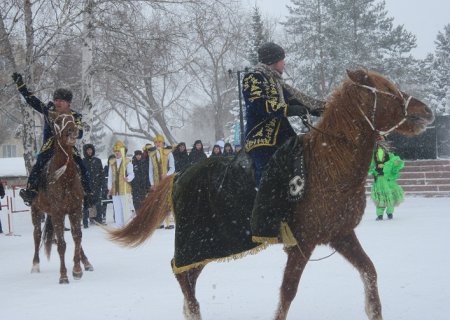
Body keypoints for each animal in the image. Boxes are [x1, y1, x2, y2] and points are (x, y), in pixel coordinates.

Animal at [30, 112, 93, 282]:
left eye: (73, 119)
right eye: (58, 121)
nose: (72, 131)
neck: (65, 177)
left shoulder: (75, 210)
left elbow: (77, 237)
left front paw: (77, 270)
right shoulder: (57, 213)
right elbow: (61, 245)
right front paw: (63, 275)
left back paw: (86, 262)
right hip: (36, 210)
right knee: (37, 235)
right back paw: (35, 265)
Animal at [108, 69, 432, 318]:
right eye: (387, 89)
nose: (426, 111)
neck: (329, 163)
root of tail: (179, 174)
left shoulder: (340, 235)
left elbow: (370, 272)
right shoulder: (303, 243)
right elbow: (287, 293)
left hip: (206, 246)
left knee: (187, 275)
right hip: (195, 242)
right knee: (179, 272)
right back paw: (193, 310)